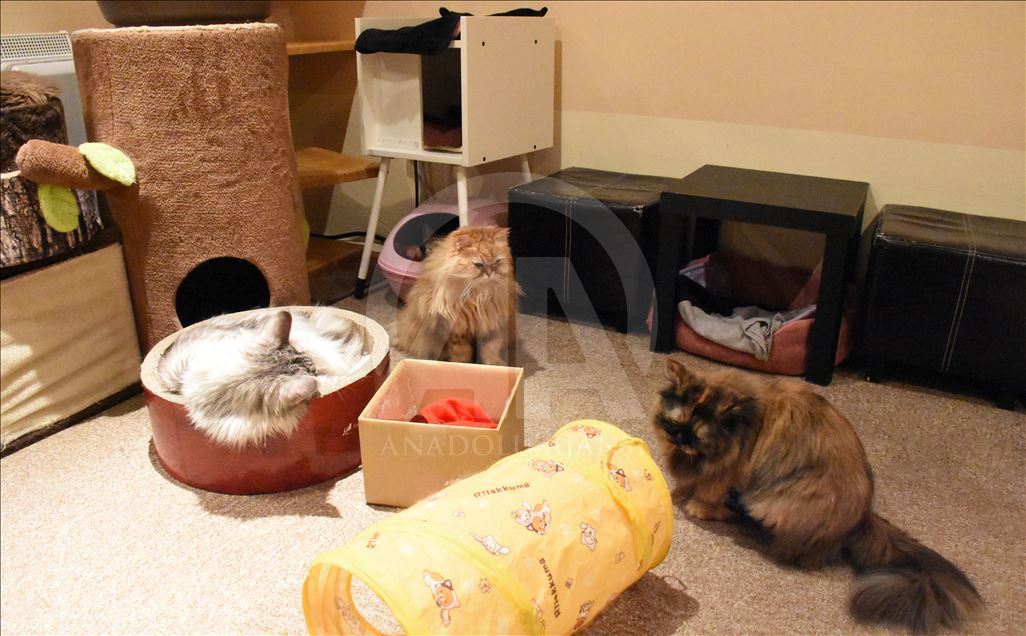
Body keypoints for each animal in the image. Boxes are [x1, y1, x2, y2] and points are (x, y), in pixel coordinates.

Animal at [396, 225, 519, 365]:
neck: (479, 297)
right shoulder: (455, 331)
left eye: (496, 262)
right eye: (478, 264)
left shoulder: (493, 324)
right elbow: (461, 353)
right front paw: (462, 365)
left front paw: (495, 364)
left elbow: (490, 349)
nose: (489, 274)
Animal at [653, 356, 981, 634]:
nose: (678, 438)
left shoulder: (730, 469)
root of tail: (863, 517)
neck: (740, 428)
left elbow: (709, 491)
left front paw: (697, 506)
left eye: (696, 436)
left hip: (776, 500)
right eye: (676, 423)